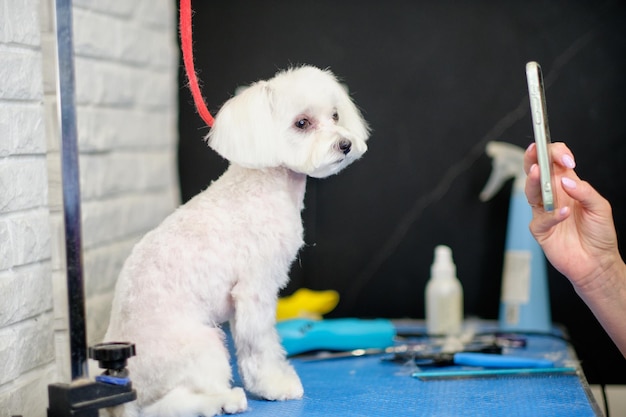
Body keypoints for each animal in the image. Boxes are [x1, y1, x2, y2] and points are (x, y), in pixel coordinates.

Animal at [100, 66, 368, 416]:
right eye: (302, 123)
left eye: (335, 115)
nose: (345, 143)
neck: (266, 184)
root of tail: (127, 390)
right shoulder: (254, 290)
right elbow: (260, 346)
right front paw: (275, 385)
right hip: (204, 345)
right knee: (169, 405)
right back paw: (225, 400)